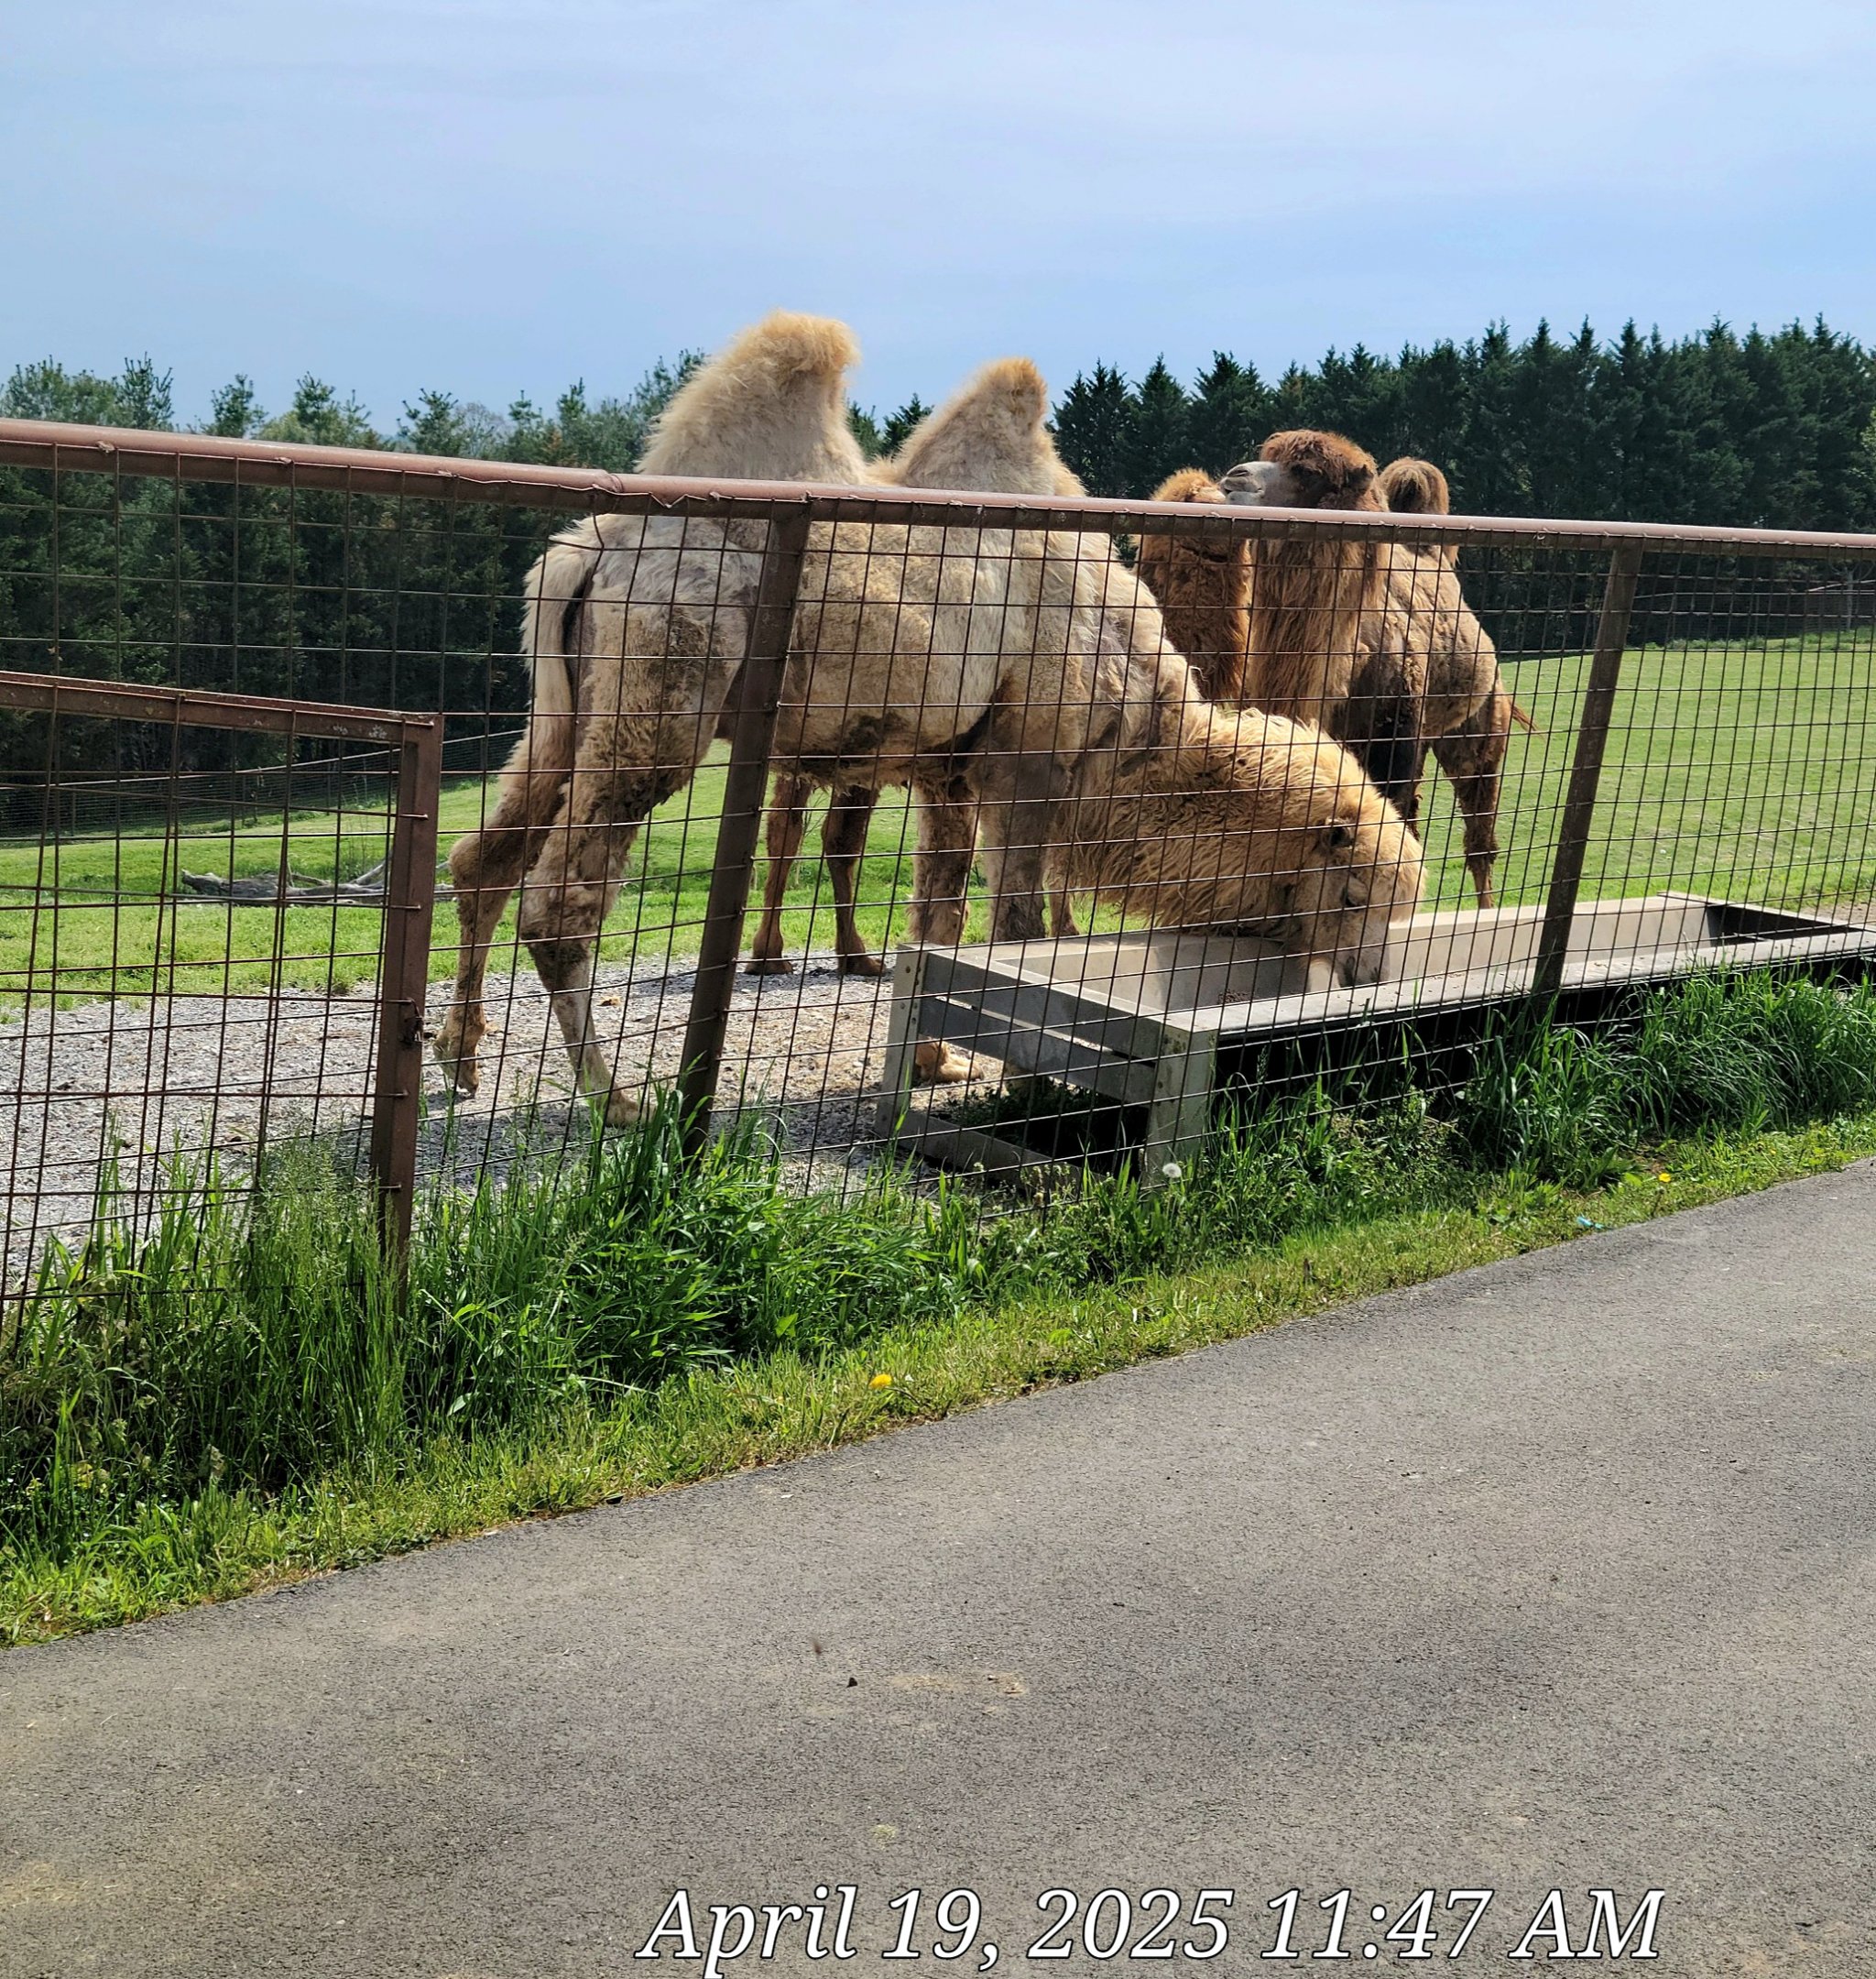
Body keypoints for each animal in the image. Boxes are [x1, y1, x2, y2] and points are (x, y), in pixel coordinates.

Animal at [433, 312, 1111, 1125]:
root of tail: (587, 553)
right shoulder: (1025, 739)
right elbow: (1010, 923)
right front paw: (1016, 1081)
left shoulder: (948, 765)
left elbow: (938, 915)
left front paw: (935, 1061)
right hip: (662, 684)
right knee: (560, 900)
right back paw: (621, 1100)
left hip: (568, 711)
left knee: (484, 860)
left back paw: (461, 1059)